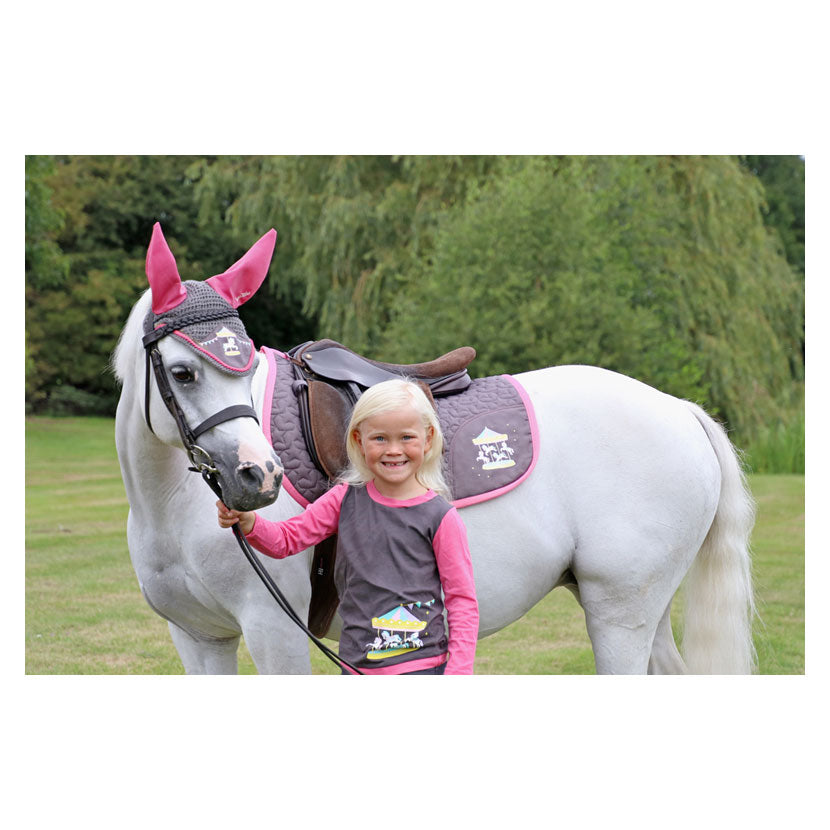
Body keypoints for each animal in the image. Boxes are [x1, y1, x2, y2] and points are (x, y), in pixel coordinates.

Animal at [114, 226, 756, 676]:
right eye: (183, 372)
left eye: (244, 364)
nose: (260, 475)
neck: (169, 505)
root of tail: (680, 409)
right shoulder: (199, 638)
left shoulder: (275, 630)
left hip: (619, 610)